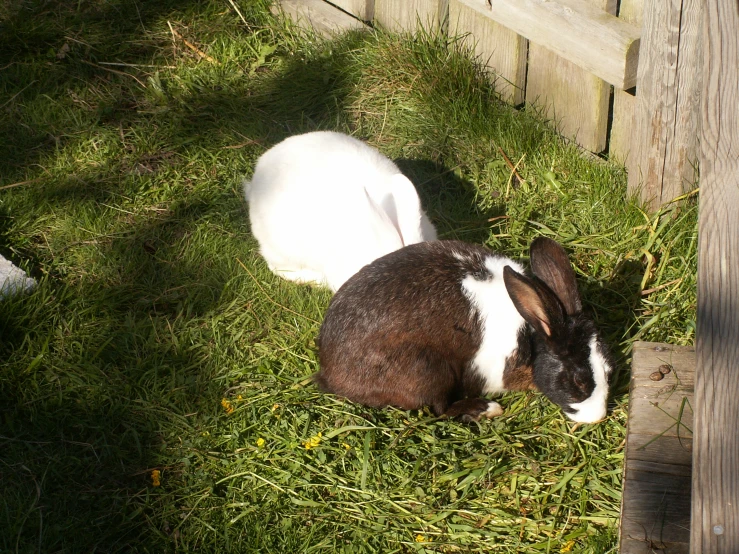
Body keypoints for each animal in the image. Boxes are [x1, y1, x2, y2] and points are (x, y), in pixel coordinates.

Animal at [316, 237, 612, 422]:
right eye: (578, 381)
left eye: (610, 369)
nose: (598, 418)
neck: (530, 332)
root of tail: (330, 373)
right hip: (429, 370)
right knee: (440, 408)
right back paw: (485, 409)